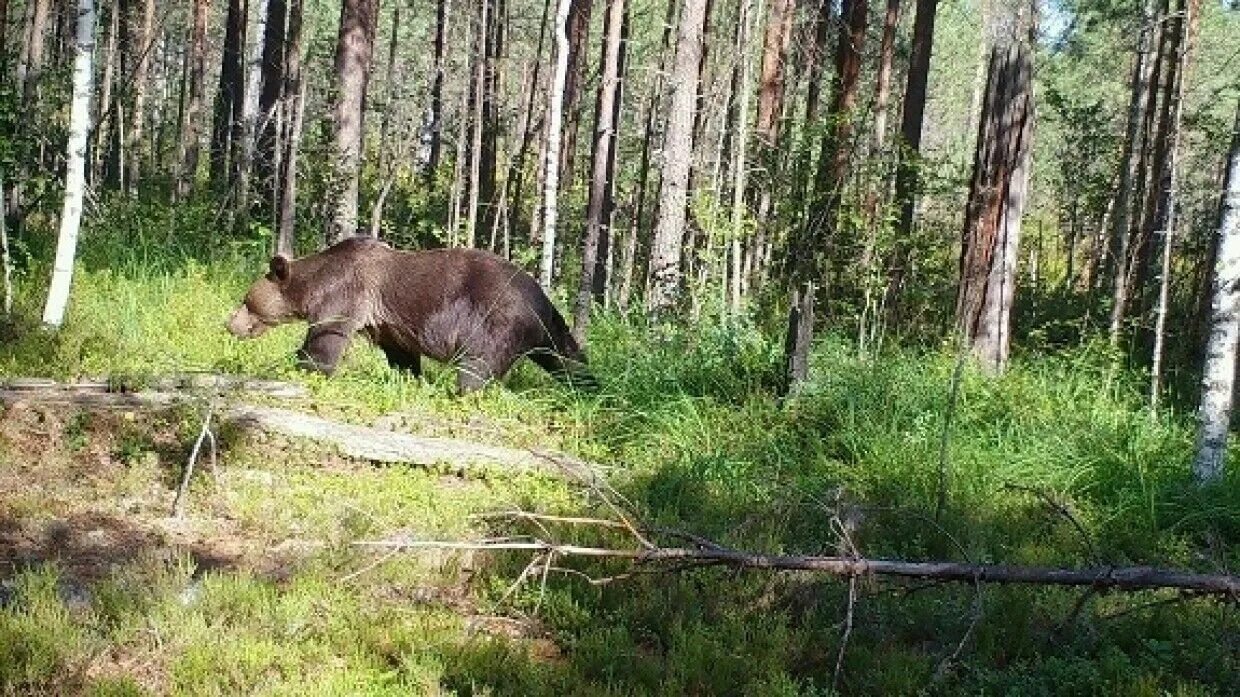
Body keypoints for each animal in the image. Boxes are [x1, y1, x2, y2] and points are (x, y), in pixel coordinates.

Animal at [229, 235, 595, 391]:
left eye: (246, 301)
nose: (229, 323)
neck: (314, 283)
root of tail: (542, 298)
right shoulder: (389, 323)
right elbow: (402, 354)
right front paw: (409, 378)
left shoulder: (345, 294)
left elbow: (325, 341)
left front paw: (301, 367)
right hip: (547, 332)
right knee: (567, 358)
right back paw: (589, 387)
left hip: (496, 321)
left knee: (477, 367)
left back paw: (462, 391)